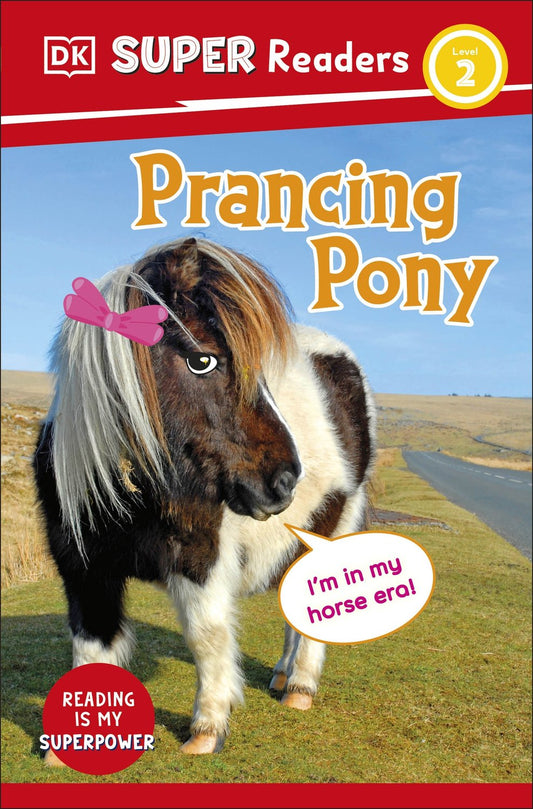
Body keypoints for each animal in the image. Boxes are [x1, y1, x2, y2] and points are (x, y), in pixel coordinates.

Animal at [33, 237, 376, 755]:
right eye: (203, 359)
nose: (284, 480)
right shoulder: (82, 570)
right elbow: (89, 649)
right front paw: (66, 750)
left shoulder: (200, 558)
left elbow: (207, 637)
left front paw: (207, 728)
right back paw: (282, 675)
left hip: (337, 524)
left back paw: (299, 686)